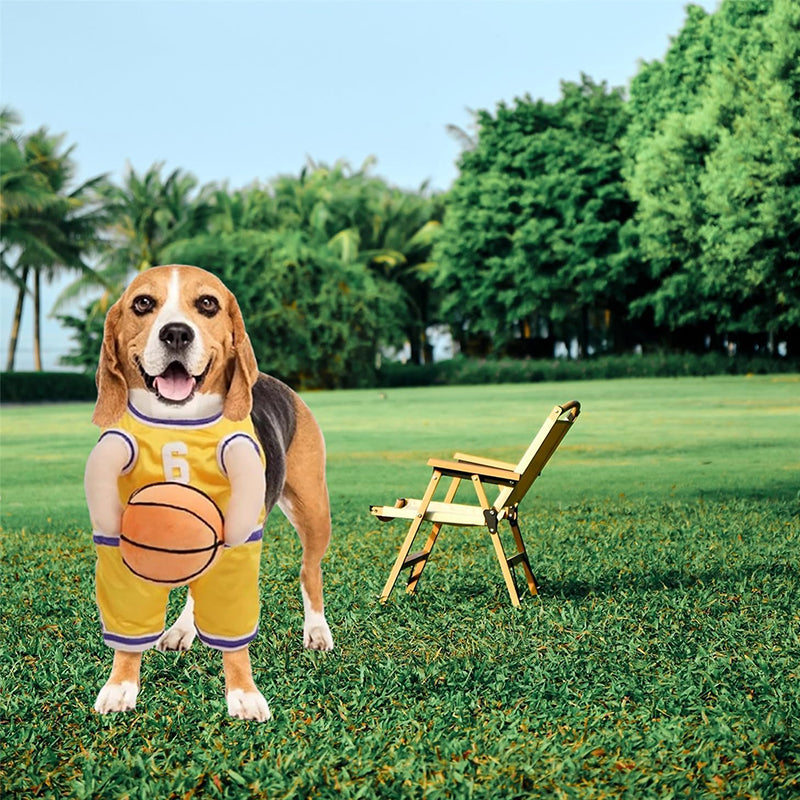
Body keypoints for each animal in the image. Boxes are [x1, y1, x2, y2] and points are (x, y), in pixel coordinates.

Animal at [86, 266, 334, 720]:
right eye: (143, 303)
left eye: (207, 304)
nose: (176, 334)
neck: (176, 426)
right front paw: (120, 687)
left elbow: (234, 636)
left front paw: (244, 695)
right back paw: (183, 629)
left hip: (312, 508)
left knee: (310, 571)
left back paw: (317, 631)